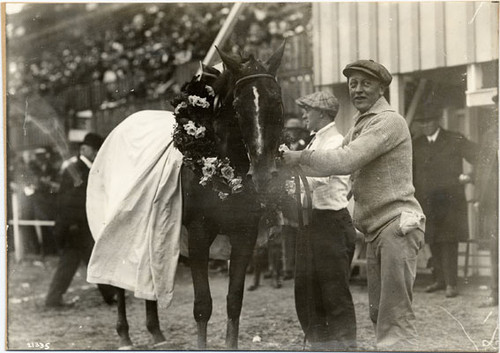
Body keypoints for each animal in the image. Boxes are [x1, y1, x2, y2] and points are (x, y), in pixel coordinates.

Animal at [95, 44, 286, 350]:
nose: (263, 175)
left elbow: (234, 302)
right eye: (237, 106)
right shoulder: (198, 235)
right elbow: (203, 306)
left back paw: (156, 332)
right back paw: (124, 334)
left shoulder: (244, 234)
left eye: (276, 101)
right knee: (118, 279)